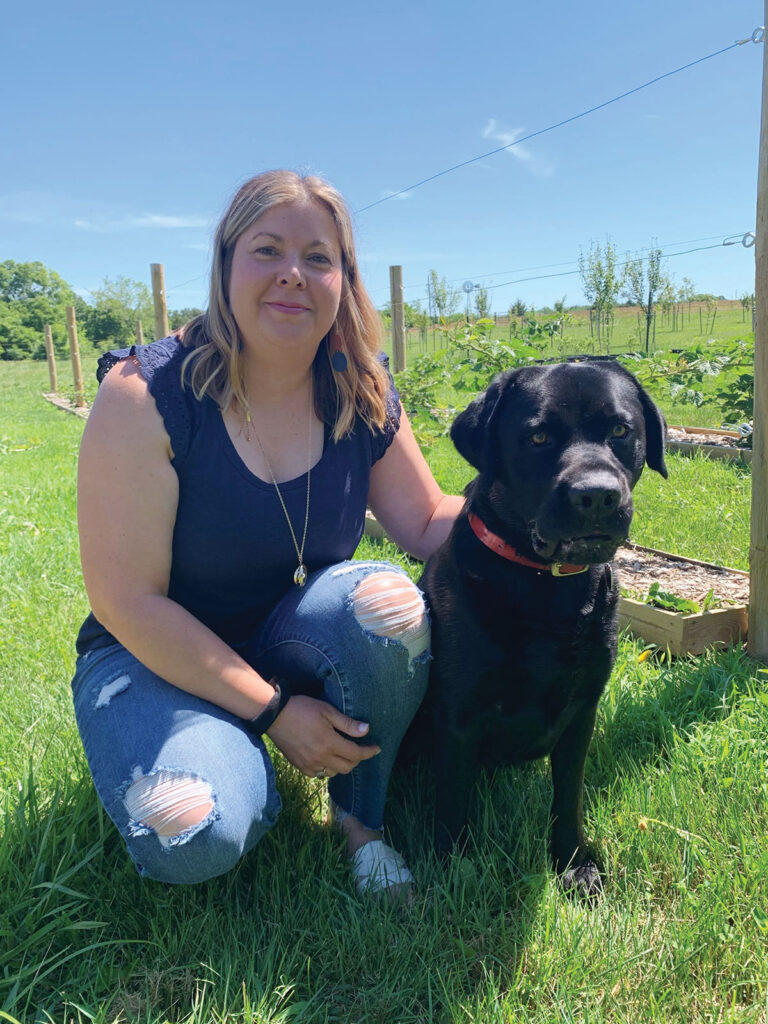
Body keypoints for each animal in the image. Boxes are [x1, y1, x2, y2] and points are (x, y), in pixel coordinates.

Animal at [415, 360, 667, 897]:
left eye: (620, 431)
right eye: (537, 437)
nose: (597, 496)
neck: (546, 587)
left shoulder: (583, 711)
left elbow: (568, 795)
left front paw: (573, 863)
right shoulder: (457, 716)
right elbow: (452, 800)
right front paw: (452, 869)